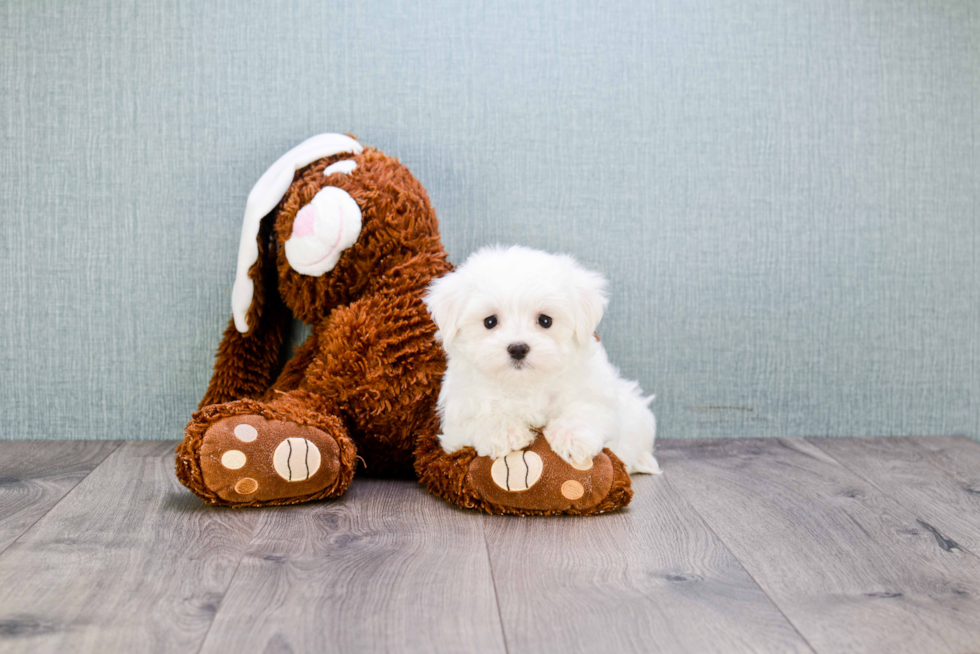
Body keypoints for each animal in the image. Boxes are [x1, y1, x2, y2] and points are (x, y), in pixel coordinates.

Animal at [424, 246, 664, 476]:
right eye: (490, 321)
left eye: (545, 320)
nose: (518, 348)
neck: (525, 383)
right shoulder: (457, 417)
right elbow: (479, 415)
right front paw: (504, 432)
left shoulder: (594, 390)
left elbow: (586, 408)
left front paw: (571, 436)